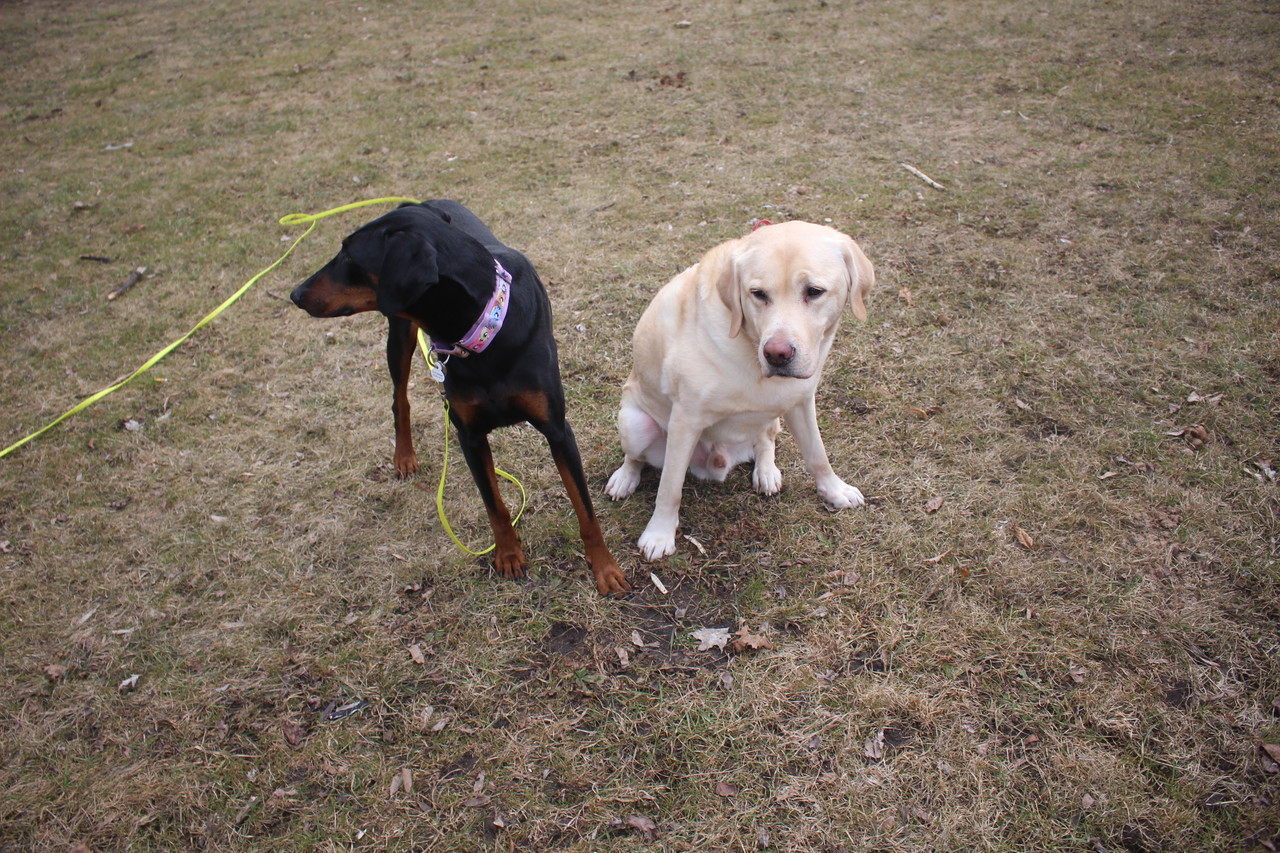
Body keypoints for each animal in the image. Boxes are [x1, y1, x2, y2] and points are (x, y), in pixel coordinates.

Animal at [291, 200, 630, 595]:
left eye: (348, 254)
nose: (295, 294)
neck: (482, 330)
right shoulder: (469, 435)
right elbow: (495, 505)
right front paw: (508, 555)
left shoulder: (557, 429)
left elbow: (585, 509)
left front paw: (605, 569)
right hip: (399, 335)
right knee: (399, 400)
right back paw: (404, 457)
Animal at [604, 220, 874, 560]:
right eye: (758, 294)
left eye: (814, 291)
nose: (776, 354)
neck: (751, 347)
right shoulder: (686, 420)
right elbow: (670, 487)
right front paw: (659, 534)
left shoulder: (800, 401)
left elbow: (817, 455)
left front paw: (835, 490)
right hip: (634, 423)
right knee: (634, 457)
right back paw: (625, 478)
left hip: (773, 420)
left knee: (765, 441)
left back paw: (766, 471)